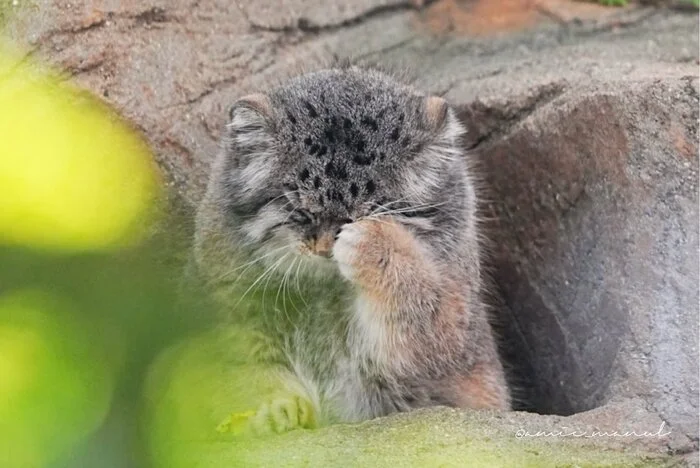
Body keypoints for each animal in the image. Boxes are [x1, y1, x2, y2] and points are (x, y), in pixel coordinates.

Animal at [191, 65, 508, 436]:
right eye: (302, 211)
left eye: (367, 214)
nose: (325, 248)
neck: (323, 291)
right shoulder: (224, 303)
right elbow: (244, 367)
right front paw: (274, 405)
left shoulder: (454, 336)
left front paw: (375, 244)